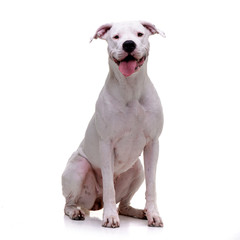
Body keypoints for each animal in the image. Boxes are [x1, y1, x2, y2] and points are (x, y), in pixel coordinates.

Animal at [62, 20, 165, 227]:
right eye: (115, 36)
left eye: (140, 34)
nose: (129, 44)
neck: (131, 89)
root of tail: (95, 202)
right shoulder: (106, 144)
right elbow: (109, 185)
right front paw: (109, 217)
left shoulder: (153, 143)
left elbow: (151, 185)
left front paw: (153, 214)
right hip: (78, 167)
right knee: (68, 203)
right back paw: (75, 212)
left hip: (137, 169)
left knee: (123, 205)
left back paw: (138, 212)